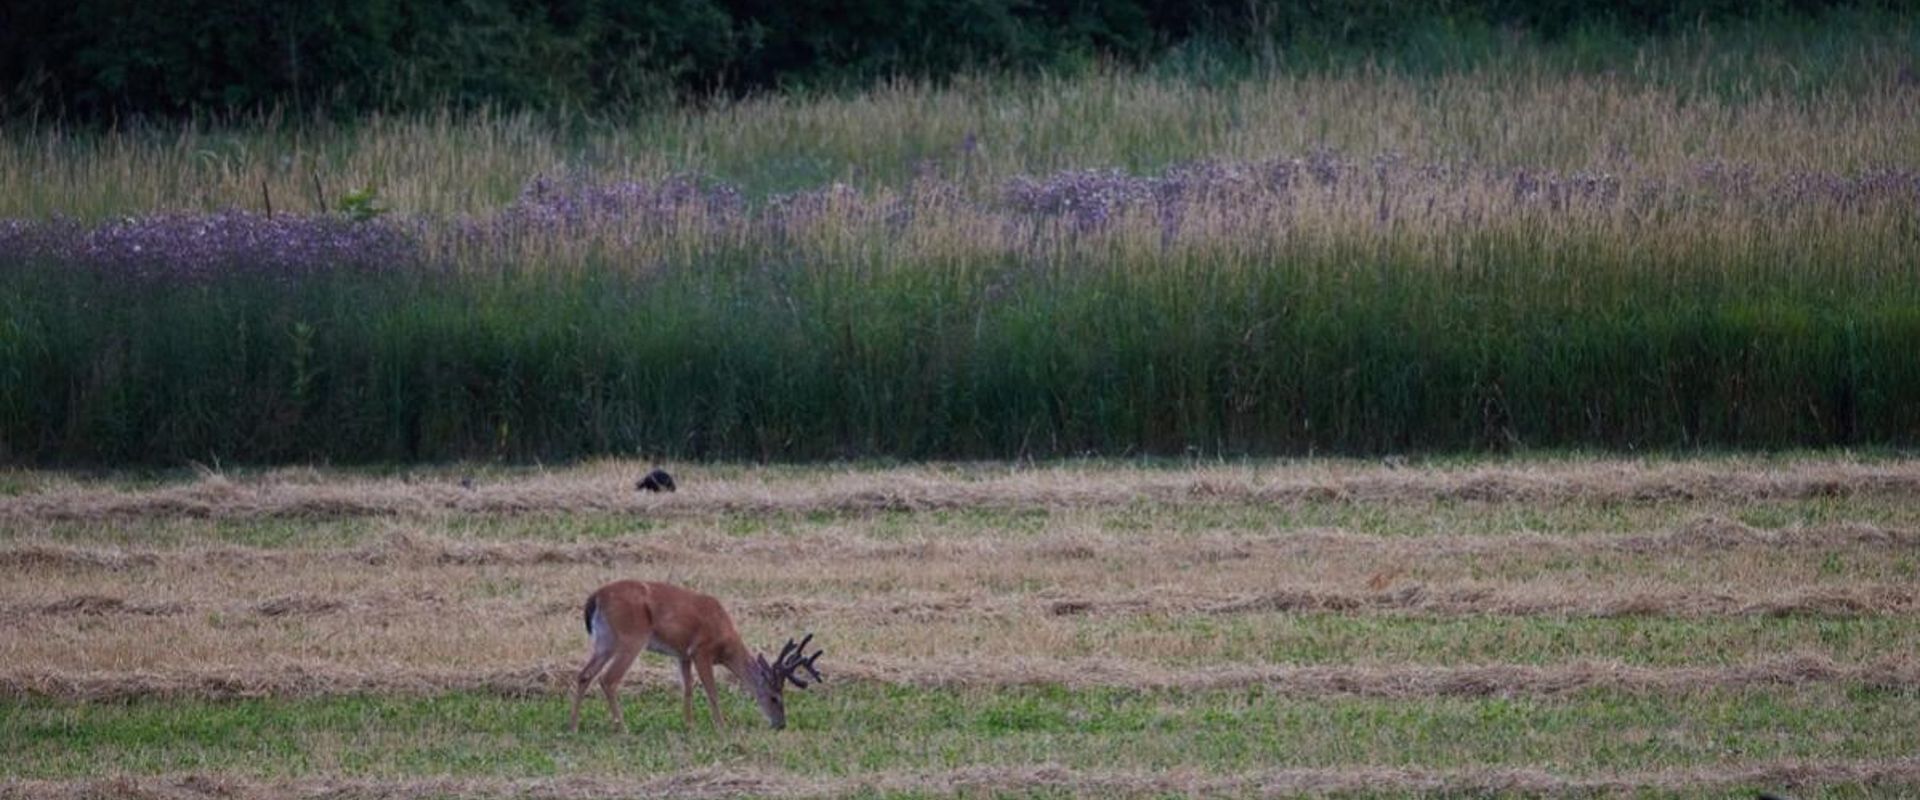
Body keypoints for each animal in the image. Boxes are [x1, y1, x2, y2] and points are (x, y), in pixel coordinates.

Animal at [569, 580, 822, 732]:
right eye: (774, 698)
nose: (781, 724)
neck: (726, 644)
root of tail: (595, 598)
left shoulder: (683, 654)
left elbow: (688, 688)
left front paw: (689, 725)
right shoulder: (702, 650)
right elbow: (711, 691)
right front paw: (721, 726)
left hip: (605, 640)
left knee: (584, 675)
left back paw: (574, 725)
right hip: (631, 637)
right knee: (608, 679)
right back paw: (622, 728)